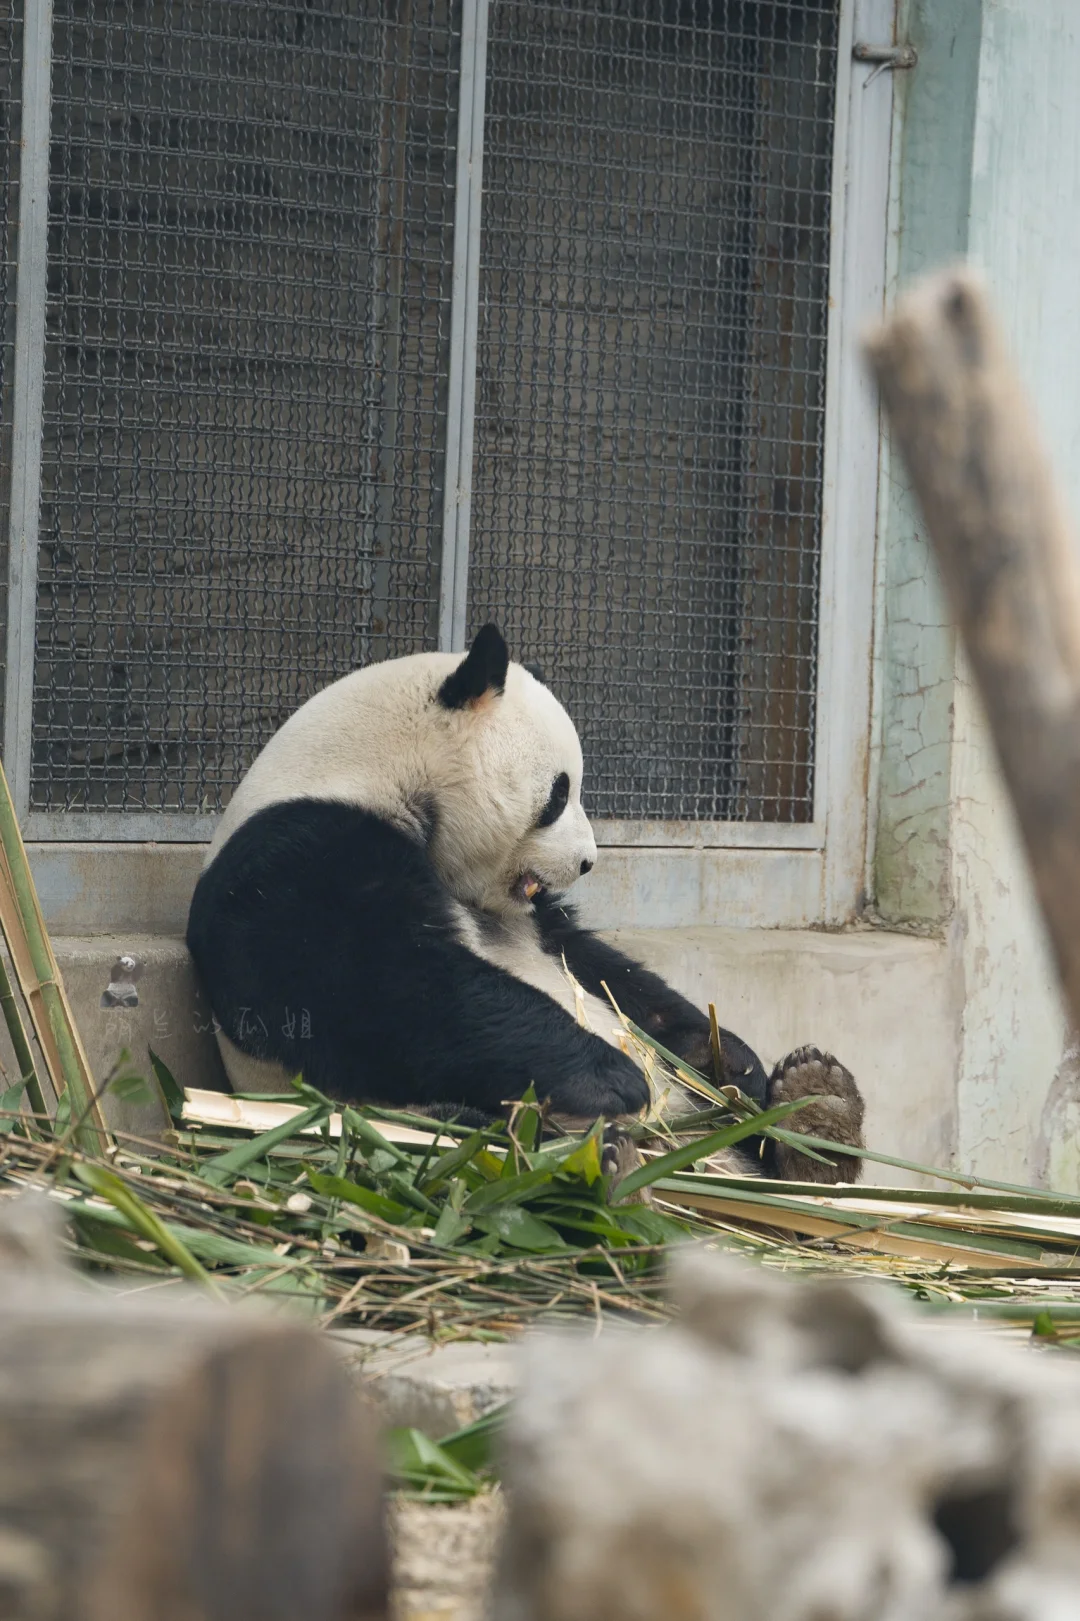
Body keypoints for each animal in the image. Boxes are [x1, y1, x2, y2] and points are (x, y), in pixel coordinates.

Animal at [183, 619, 856, 1180]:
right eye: (560, 792)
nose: (587, 860)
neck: (364, 768)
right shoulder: (298, 850)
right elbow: (368, 982)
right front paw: (611, 1078)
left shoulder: (537, 921)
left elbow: (609, 974)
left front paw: (726, 1057)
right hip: (395, 1115)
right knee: (465, 1128)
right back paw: (607, 1156)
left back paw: (814, 1113)